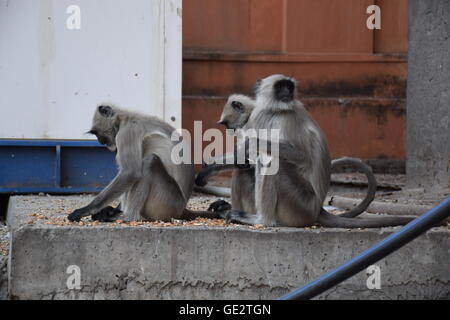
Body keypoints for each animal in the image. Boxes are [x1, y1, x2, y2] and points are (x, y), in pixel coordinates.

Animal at [67, 105, 221, 222]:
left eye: (101, 137)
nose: (102, 143)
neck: (125, 118)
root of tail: (181, 207)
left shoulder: (127, 132)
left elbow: (130, 173)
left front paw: (86, 210)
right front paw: (110, 210)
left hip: (167, 202)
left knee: (149, 161)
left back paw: (129, 217)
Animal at [196, 92, 376, 218]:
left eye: (226, 124)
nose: (230, 130)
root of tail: (317, 206)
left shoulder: (255, 121)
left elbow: (249, 158)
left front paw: (208, 169)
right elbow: (246, 161)